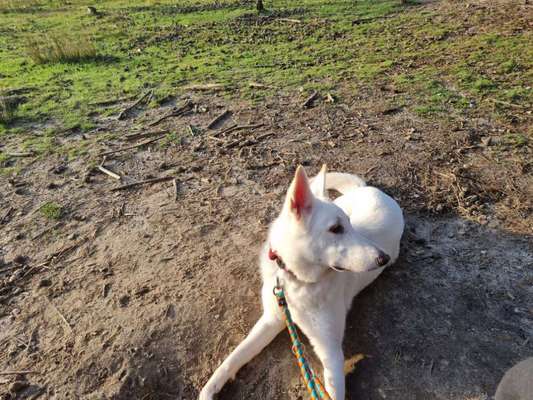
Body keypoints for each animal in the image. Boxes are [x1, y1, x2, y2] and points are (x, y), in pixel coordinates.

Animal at [200, 164, 404, 398]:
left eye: (346, 227)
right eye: (336, 229)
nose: (383, 258)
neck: (296, 282)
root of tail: (372, 190)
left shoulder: (330, 352)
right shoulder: (271, 320)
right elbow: (234, 356)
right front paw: (210, 388)